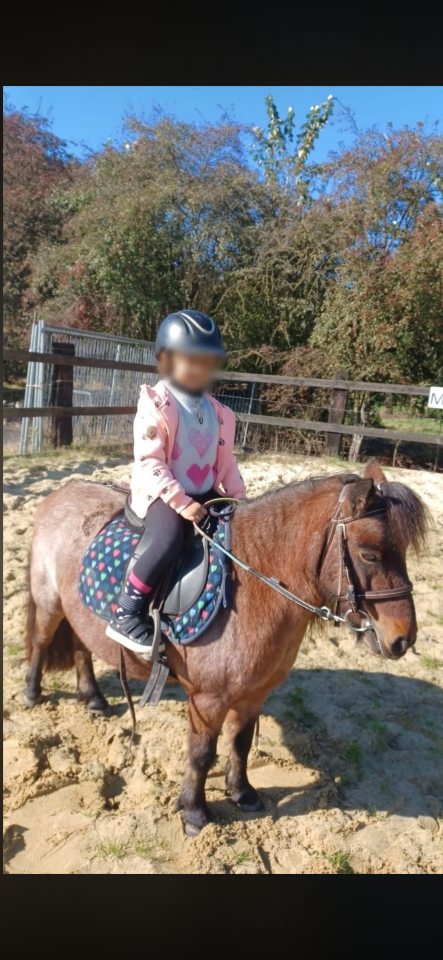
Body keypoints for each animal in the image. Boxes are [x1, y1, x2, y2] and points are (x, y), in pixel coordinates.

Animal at [23, 458, 427, 836]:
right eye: (370, 554)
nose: (403, 638)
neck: (253, 586)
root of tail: (62, 492)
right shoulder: (208, 699)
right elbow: (202, 754)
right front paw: (194, 811)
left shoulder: (254, 694)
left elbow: (241, 743)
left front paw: (242, 793)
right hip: (49, 602)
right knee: (41, 642)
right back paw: (31, 693)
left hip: (76, 610)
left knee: (82, 647)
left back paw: (92, 698)